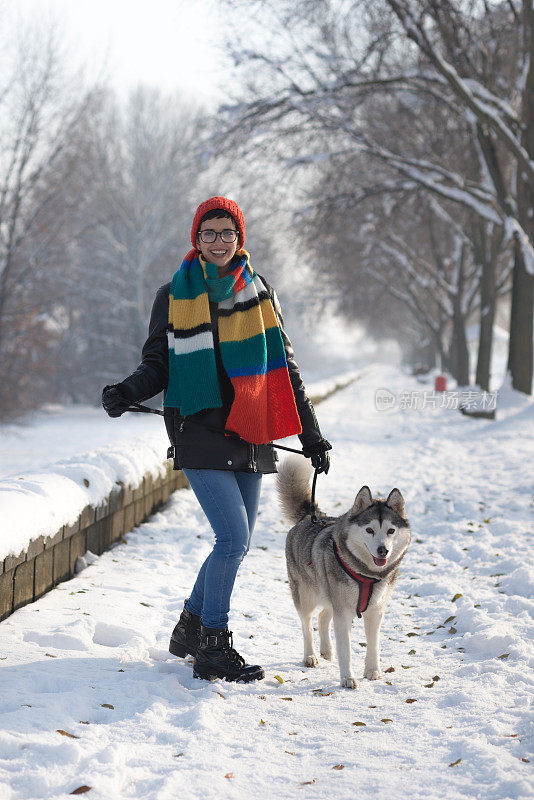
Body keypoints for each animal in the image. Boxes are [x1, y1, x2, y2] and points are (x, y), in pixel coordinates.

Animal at [278, 456, 412, 688]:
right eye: (369, 530)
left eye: (391, 531)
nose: (383, 550)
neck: (367, 575)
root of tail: (311, 516)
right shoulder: (343, 613)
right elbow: (346, 650)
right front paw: (348, 678)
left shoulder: (376, 610)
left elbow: (373, 644)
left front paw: (372, 671)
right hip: (307, 596)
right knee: (307, 624)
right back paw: (310, 656)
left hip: (330, 594)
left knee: (323, 616)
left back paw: (326, 650)